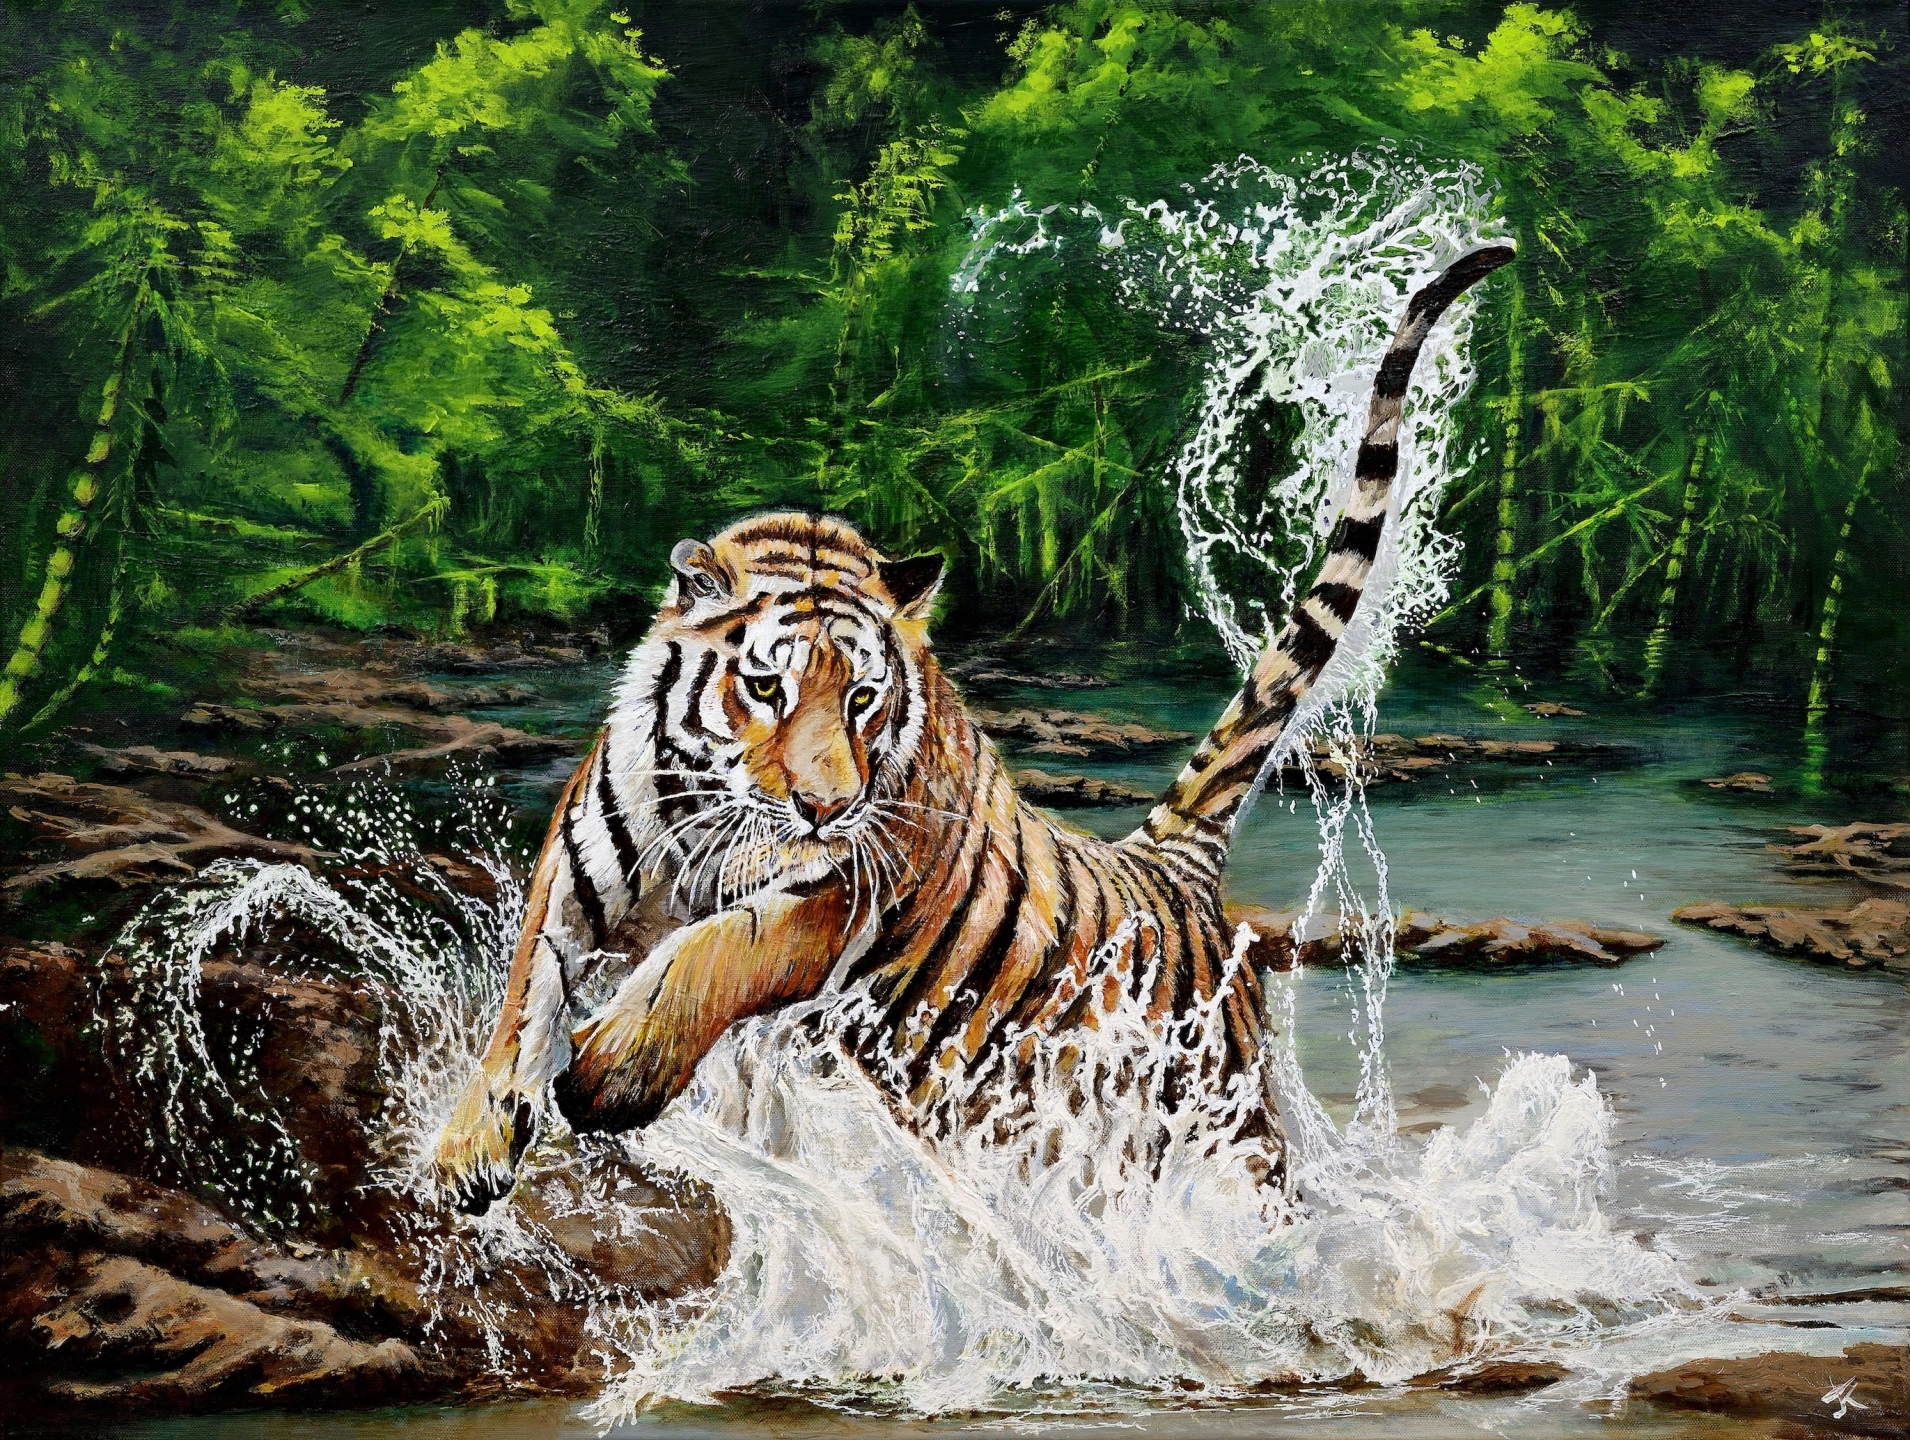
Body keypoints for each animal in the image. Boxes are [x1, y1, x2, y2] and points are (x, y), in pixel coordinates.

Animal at [434, 245, 1513, 1216]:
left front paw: (610, 1073)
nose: (825, 808)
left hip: (1219, 1126)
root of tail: (1170, 865)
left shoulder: (836, 897)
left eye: (863, 699)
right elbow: (525, 997)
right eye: (767, 688)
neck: (706, 805)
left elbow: (715, 954)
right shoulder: (573, 879)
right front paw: (470, 1147)